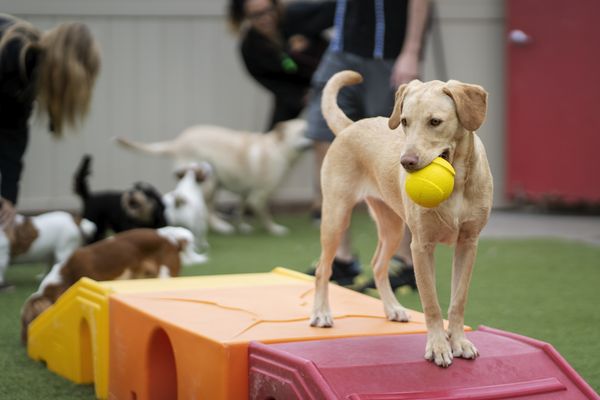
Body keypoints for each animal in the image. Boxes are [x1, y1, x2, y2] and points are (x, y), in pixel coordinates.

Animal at [310, 70, 492, 368]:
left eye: (435, 122)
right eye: (405, 121)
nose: (405, 162)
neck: (456, 185)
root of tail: (350, 127)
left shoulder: (468, 243)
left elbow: (458, 299)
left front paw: (459, 342)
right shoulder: (421, 246)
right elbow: (431, 302)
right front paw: (438, 347)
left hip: (393, 227)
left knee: (377, 265)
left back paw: (393, 308)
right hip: (336, 217)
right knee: (323, 269)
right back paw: (321, 313)